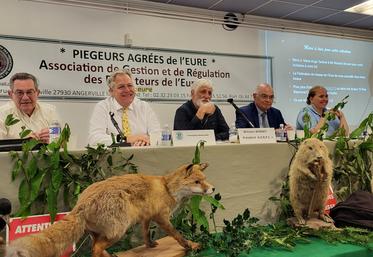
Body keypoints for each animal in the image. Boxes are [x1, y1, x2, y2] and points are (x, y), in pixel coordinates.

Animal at [5, 163, 214, 255]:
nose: (212, 189)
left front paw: (149, 245)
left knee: (96, 248)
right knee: (97, 248)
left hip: (97, 232)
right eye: (197, 182)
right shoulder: (161, 217)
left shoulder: (147, 216)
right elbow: (178, 235)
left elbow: (146, 233)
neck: (167, 188)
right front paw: (190, 245)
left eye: (205, 179)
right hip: (118, 231)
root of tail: (81, 203)